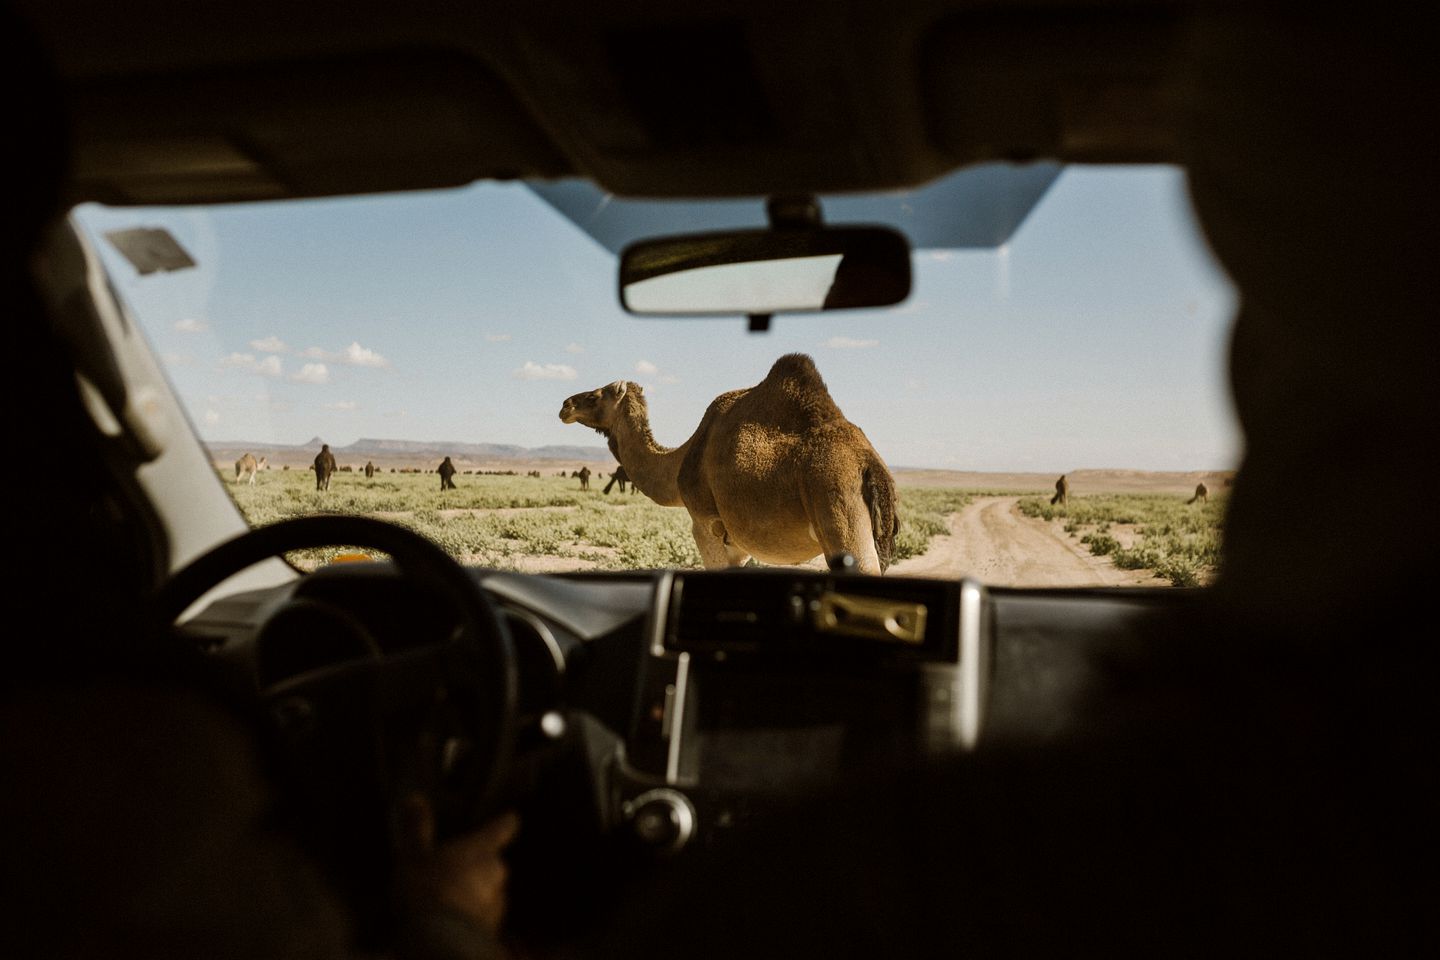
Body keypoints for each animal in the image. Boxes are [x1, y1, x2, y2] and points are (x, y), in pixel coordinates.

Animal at [555, 355, 892, 575]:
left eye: (595, 395)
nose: (565, 405)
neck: (679, 462)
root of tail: (870, 465)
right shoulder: (738, 545)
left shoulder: (707, 526)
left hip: (837, 506)